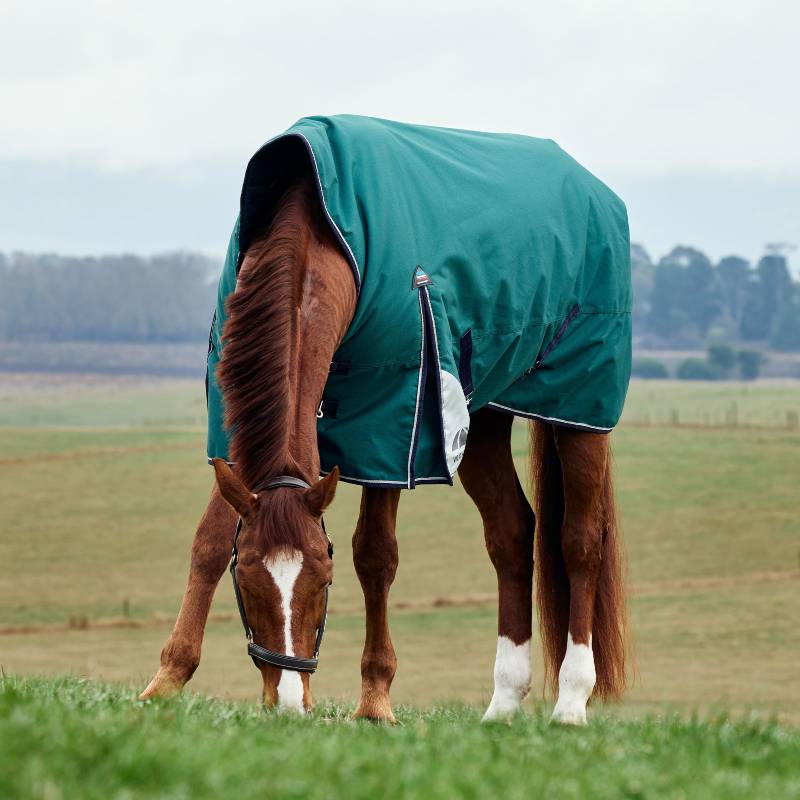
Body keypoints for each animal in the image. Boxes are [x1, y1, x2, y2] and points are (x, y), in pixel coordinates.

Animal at [140, 117, 629, 725]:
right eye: (247, 575)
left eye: (323, 581)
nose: (289, 702)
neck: (321, 233)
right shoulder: (231, 428)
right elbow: (208, 540)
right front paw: (166, 680)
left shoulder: (390, 426)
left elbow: (375, 555)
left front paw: (374, 699)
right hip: (480, 420)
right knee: (512, 534)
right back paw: (502, 703)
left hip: (580, 410)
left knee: (580, 540)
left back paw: (570, 701)